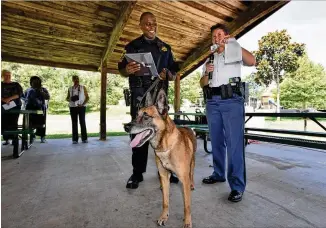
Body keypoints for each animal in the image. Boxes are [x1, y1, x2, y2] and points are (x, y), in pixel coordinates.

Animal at [125, 88, 196, 228]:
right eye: (136, 115)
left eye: (146, 116)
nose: (125, 126)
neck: (166, 146)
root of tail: (187, 127)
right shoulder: (164, 175)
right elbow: (165, 201)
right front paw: (164, 216)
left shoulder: (184, 179)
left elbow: (187, 205)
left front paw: (187, 222)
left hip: (192, 163)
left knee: (191, 174)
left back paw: (192, 184)